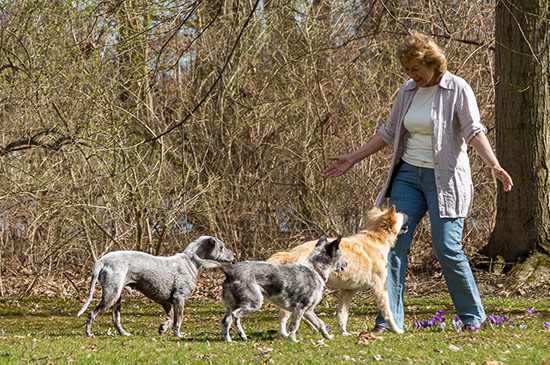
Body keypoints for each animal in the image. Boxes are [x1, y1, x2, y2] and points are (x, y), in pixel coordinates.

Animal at [76, 236, 236, 336]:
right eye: (222, 247)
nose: (234, 255)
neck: (191, 261)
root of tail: (101, 261)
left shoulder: (166, 302)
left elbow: (170, 318)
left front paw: (163, 328)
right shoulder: (179, 298)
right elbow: (178, 320)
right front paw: (178, 334)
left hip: (116, 299)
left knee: (116, 319)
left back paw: (124, 333)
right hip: (111, 296)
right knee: (91, 314)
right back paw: (88, 333)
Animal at [197, 233, 344, 342]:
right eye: (341, 256)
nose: (345, 264)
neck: (315, 270)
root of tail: (230, 270)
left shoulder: (309, 311)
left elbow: (320, 324)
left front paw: (328, 336)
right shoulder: (300, 308)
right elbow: (294, 326)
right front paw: (293, 340)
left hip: (230, 304)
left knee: (225, 321)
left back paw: (229, 340)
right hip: (254, 301)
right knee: (235, 316)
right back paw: (241, 335)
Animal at [270, 203, 408, 334]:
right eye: (399, 214)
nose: (406, 211)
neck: (376, 239)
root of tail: (291, 254)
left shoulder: (347, 291)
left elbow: (342, 315)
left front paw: (343, 333)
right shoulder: (380, 288)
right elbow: (388, 313)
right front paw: (397, 330)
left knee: (300, 312)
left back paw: (313, 328)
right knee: (285, 312)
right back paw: (284, 334)